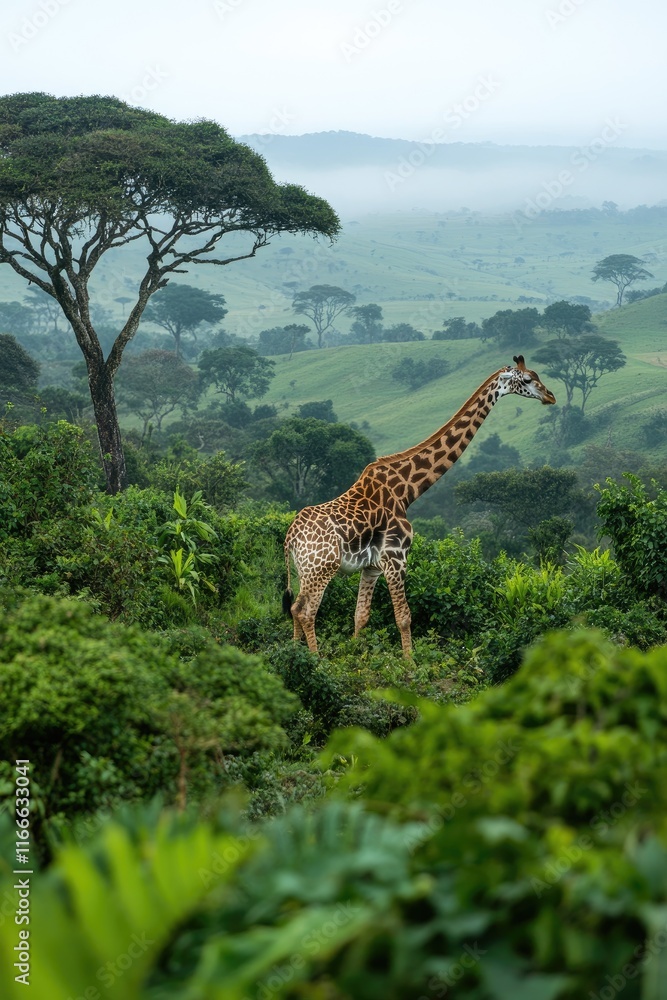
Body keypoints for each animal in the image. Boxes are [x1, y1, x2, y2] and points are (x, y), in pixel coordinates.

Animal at [283, 355, 556, 655]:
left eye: (537, 376)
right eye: (528, 379)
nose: (550, 396)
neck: (405, 490)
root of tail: (290, 538)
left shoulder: (372, 566)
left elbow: (361, 616)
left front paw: (357, 656)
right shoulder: (396, 557)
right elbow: (403, 617)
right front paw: (409, 663)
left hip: (303, 570)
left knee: (295, 608)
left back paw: (294, 654)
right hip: (321, 568)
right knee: (306, 611)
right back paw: (315, 659)